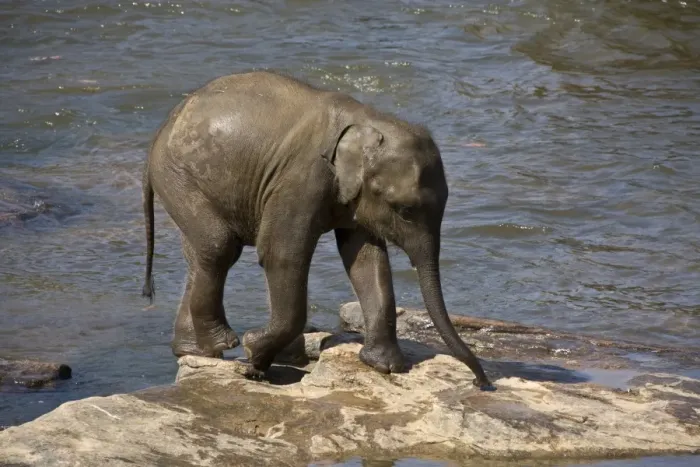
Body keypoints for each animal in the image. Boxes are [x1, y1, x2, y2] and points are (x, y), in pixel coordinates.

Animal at [141, 70, 493, 390]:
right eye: (405, 210)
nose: (482, 383)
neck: (366, 120)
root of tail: (162, 127)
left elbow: (366, 260)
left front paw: (386, 366)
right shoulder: (300, 178)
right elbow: (281, 255)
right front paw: (254, 355)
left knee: (200, 254)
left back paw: (200, 351)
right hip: (178, 178)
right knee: (219, 247)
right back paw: (225, 343)